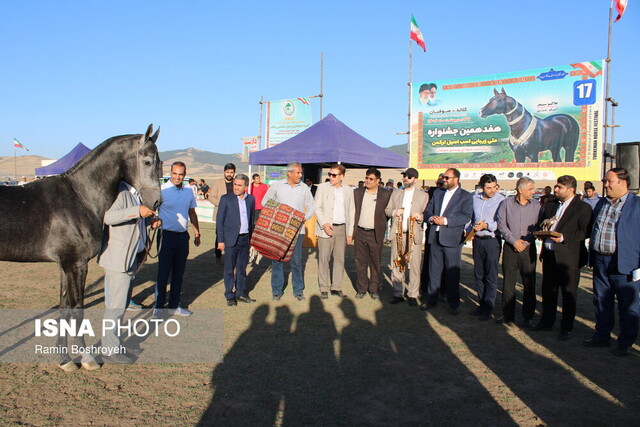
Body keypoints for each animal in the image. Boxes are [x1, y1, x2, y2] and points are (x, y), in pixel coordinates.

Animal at [0, 124, 162, 372]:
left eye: (159, 161)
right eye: (146, 161)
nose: (156, 203)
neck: (80, 196)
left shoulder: (64, 266)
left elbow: (64, 307)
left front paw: (64, 358)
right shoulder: (76, 265)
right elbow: (77, 309)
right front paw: (86, 358)